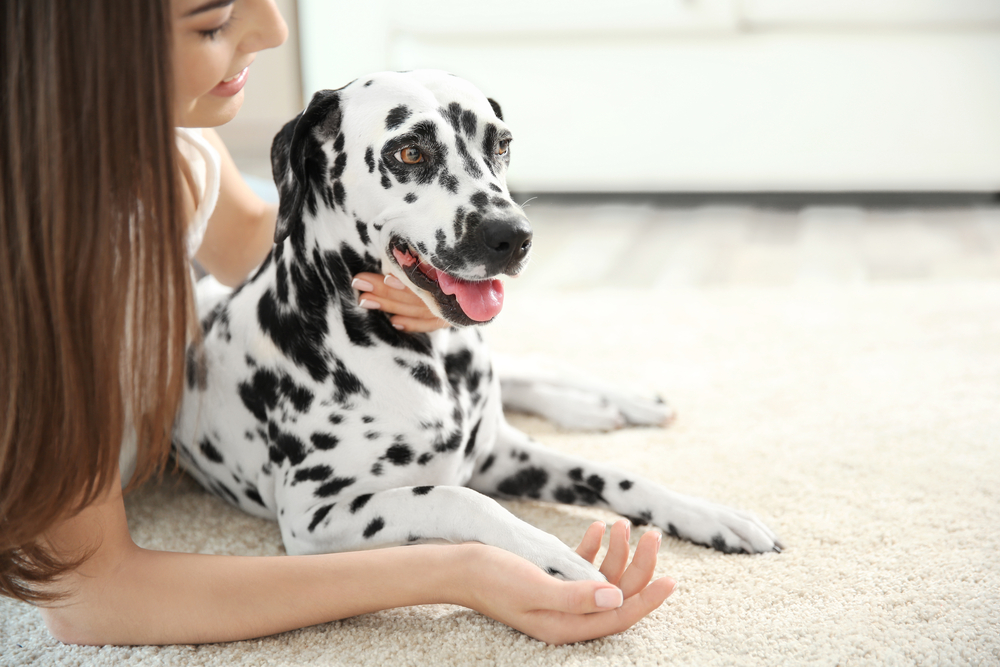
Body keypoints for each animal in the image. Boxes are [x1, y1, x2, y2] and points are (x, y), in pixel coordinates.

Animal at [174, 68, 780, 580]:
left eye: (501, 144)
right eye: (410, 151)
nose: (513, 235)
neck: (430, 356)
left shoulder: (502, 455)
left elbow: (615, 474)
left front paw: (710, 514)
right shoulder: (315, 517)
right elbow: (458, 497)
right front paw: (556, 558)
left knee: (529, 370)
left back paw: (619, 404)